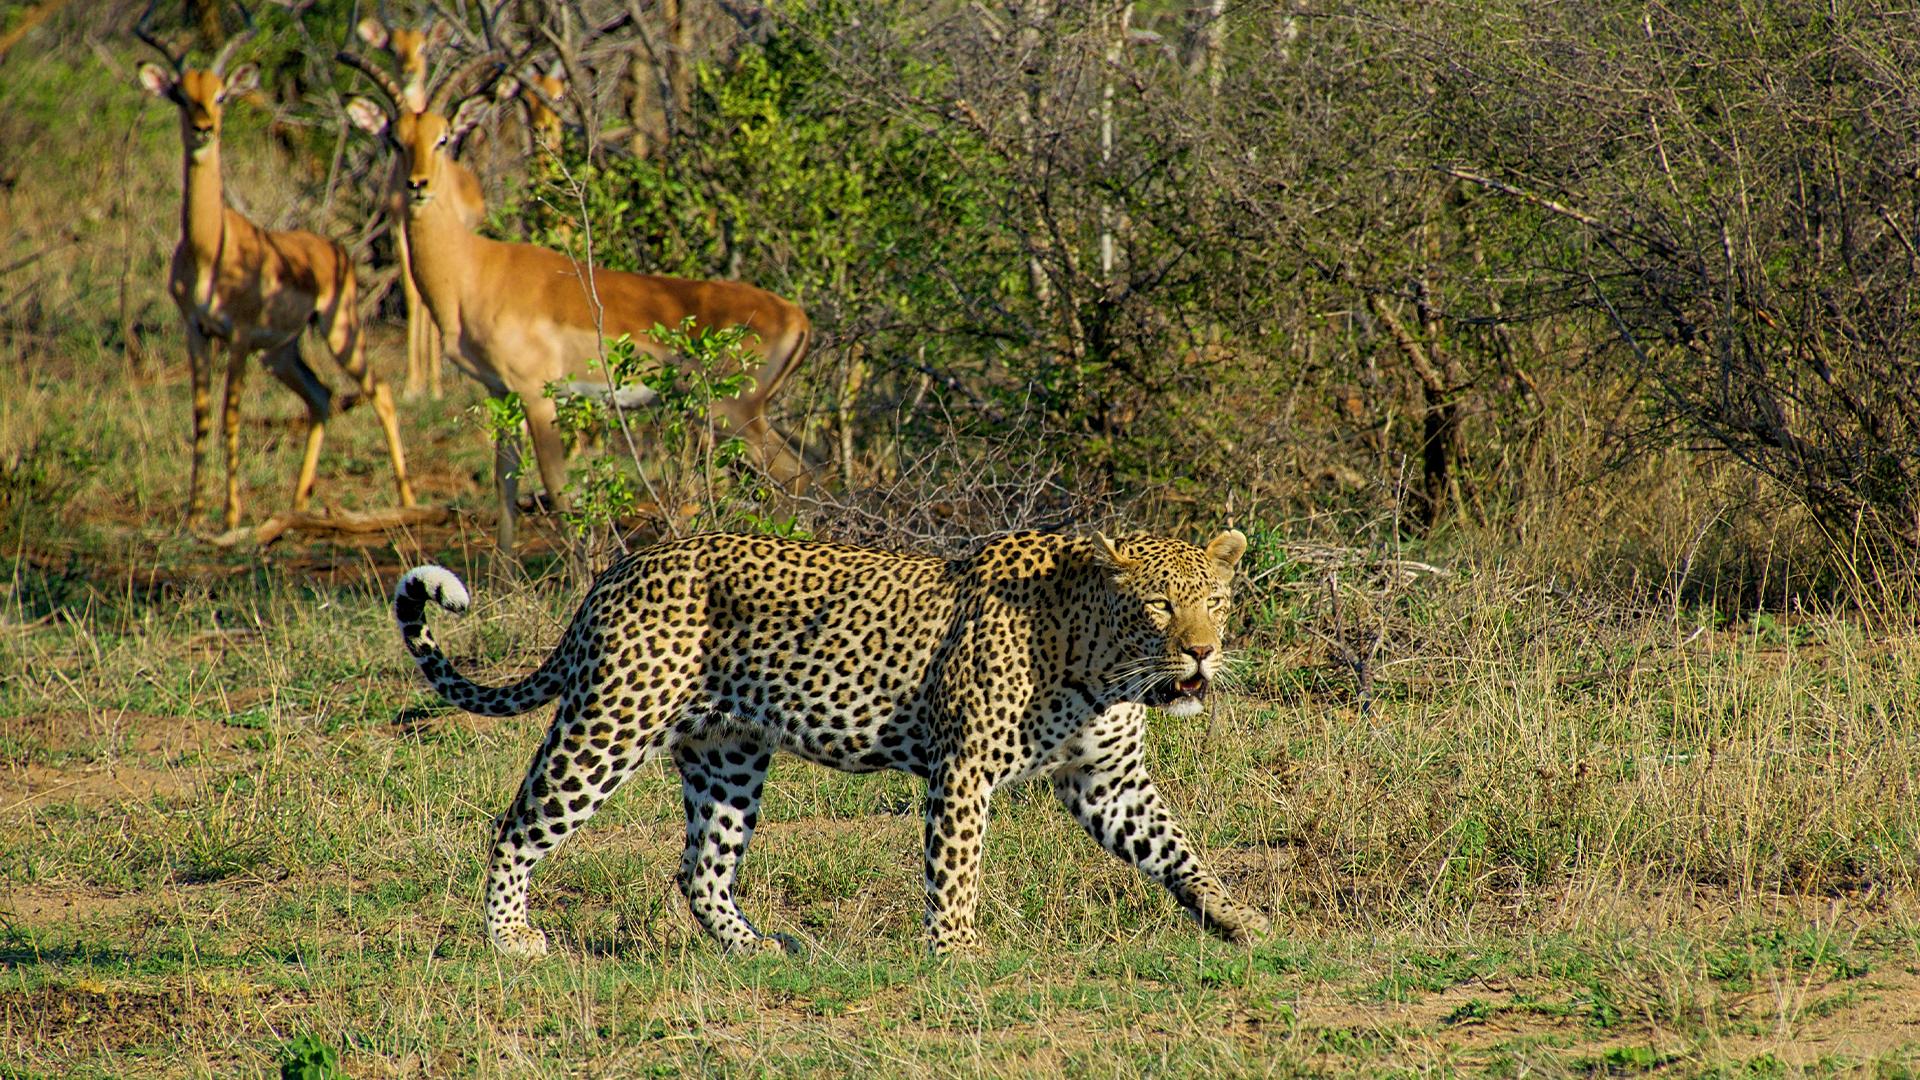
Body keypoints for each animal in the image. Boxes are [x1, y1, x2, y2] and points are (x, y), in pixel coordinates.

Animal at [395, 526, 1267, 953]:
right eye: (1159, 605)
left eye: (1217, 600)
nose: (1201, 651)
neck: (1103, 664)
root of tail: (618, 571)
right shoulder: (963, 770)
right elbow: (956, 871)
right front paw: (957, 953)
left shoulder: (1108, 781)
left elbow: (1178, 849)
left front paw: (1239, 921)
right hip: (611, 723)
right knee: (517, 825)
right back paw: (510, 939)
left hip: (728, 752)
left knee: (701, 869)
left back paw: (756, 951)